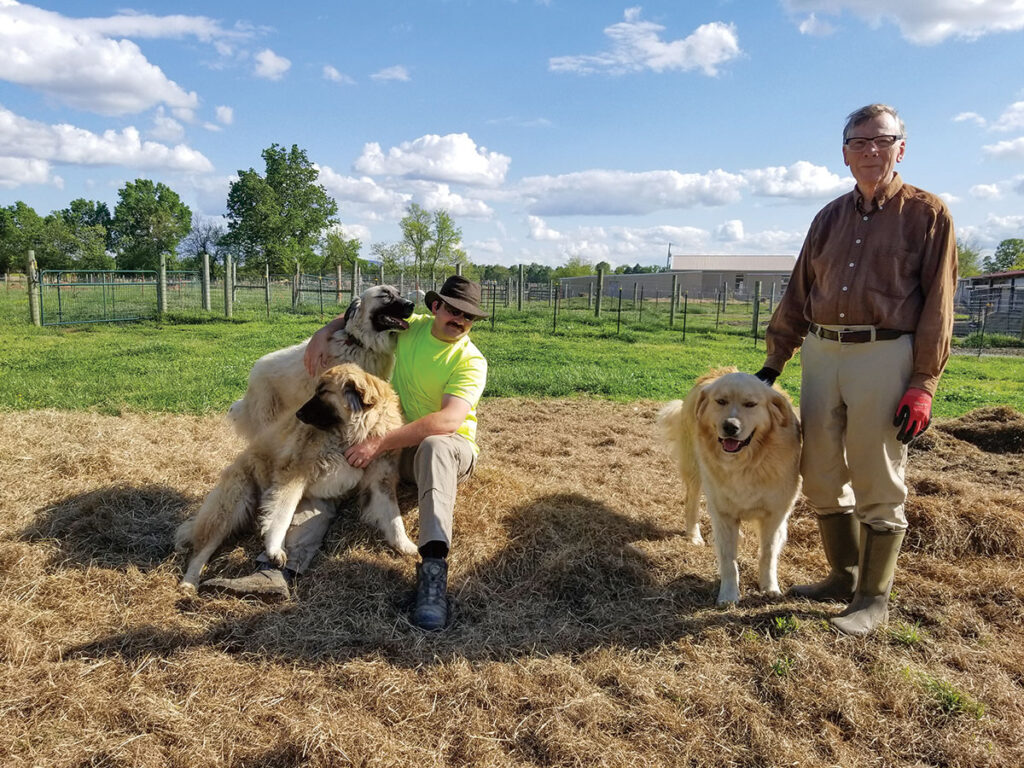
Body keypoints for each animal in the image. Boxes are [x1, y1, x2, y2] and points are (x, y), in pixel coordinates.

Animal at [176, 364, 415, 593]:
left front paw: (406, 545)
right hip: (231, 506)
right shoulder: (293, 474)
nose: (298, 414)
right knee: (201, 550)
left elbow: (393, 517)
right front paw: (275, 549)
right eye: (316, 390)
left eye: (323, 392)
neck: (351, 435)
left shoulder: (380, 481)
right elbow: (282, 514)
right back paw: (189, 583)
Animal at [227, 286, 411, 442]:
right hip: (269, 417)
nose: (412, 304)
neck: (361, 344)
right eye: (385, 295)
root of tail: (254, 370)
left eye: (399, 293)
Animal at [659, 368, 802, 606]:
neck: (746, 463)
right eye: (721, 401)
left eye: (751, 404)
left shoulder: (775, 514)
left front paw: (769, 588)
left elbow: (768, 553)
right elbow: (728, 560)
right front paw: (728, 595)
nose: (730, 427)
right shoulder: (722, 512)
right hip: (696, 470)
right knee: (691, 503)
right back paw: (694, 535)